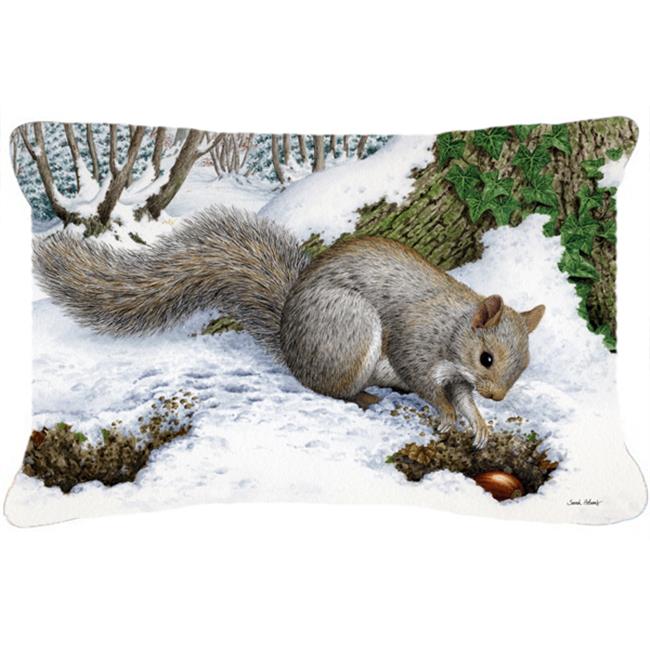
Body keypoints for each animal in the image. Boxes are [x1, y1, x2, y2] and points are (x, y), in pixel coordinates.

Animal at [33, 205, 545, 448]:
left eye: (524, 366)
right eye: (487, 357)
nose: (500, 397)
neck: (453, 329)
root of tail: (289, 340)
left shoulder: (455, 374)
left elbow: (460, 396)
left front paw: (479, 422)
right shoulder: (417, 344)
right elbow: (426, 383)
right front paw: (447, 416)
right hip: (350, 327)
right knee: (329, 389)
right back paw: (362, 396)